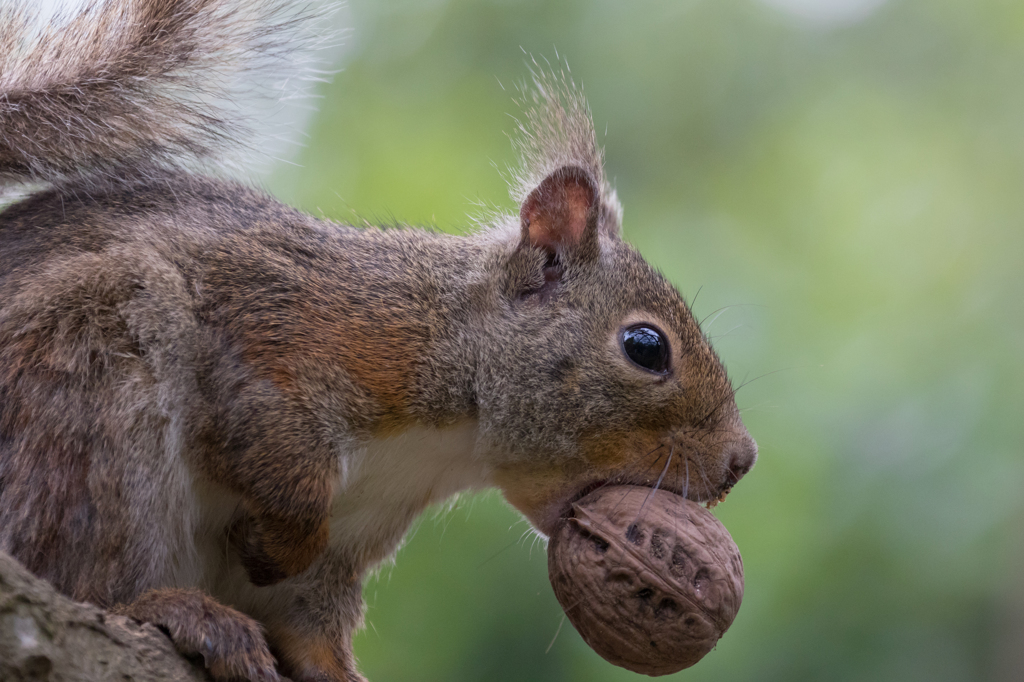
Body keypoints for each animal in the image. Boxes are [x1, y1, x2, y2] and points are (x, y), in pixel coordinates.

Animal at [0, 1, 753, 679]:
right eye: (646, 347)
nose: (740, 460)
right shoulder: (274, 333)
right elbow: (285, 469)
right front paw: (272, 543)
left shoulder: (352, 540)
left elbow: (311, 623)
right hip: (87, 389)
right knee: (88, 570)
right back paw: (172, 607)